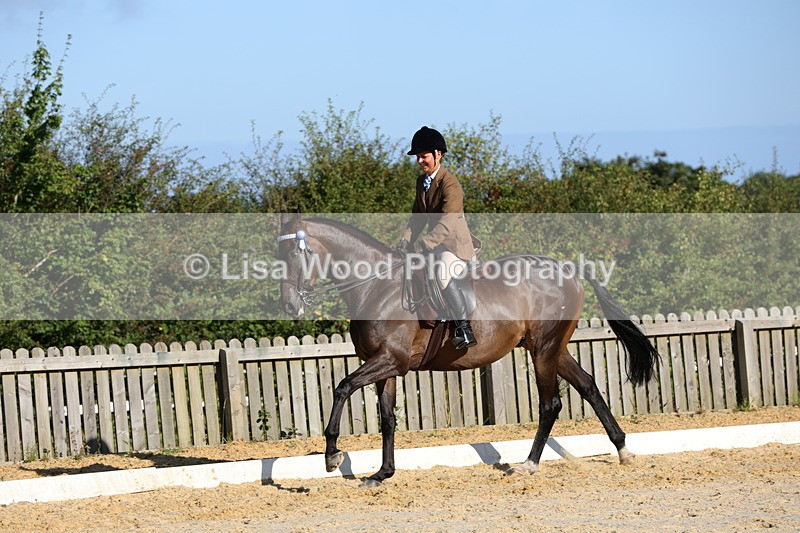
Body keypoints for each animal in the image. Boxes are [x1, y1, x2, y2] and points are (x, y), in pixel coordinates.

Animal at [276, 213, 659, 487]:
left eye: (295, 252)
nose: (289, 305)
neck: (376, 286)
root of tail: (569, 269)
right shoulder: (384, 366)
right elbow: (387, 419)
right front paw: (382, 474)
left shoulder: (390, 360)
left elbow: (342, 387)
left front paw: (331, 455)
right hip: (553, 349)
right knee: (588, 386)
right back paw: (623, 450)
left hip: (544, 350)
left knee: (550, 404)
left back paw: (528, 465)